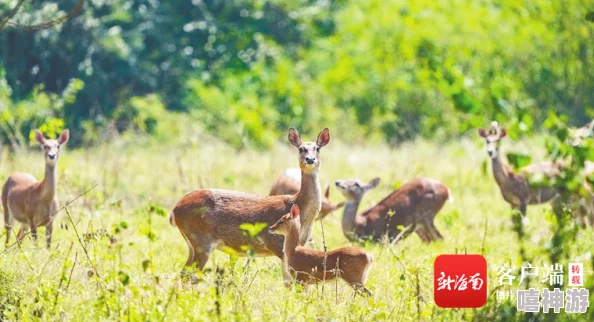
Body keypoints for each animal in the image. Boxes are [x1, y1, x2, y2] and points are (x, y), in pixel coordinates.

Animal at [169, 127, 330, 284]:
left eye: (317, 148)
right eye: (301, 149)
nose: (310, 159)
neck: (302, 211)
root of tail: (174, 210)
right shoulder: (277, 244)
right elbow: (288, 281)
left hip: (192, 243)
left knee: (182, 274)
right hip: (201, 240)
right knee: (187, 275)